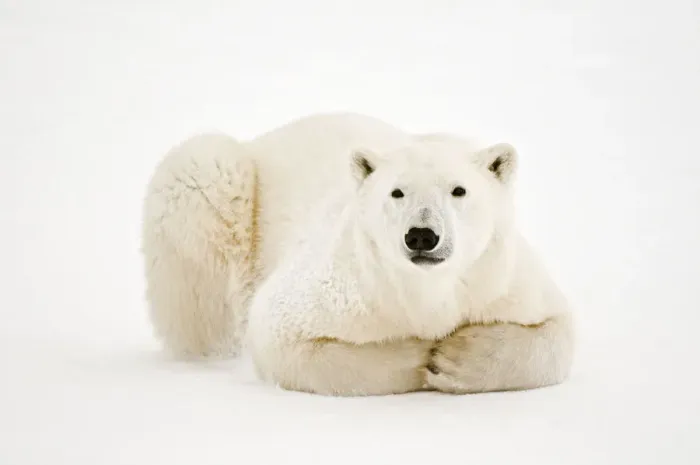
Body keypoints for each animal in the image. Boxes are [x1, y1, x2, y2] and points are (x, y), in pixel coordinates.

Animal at [141, 112, 575, 396]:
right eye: (397, 192)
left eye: (459, 190)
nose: (421, 236)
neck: (427, 291)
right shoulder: (350, 285)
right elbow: (280, 334)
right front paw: (423, 356)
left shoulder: (500, 278)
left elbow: (558, 331)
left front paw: (457, 356)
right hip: (223, 191)